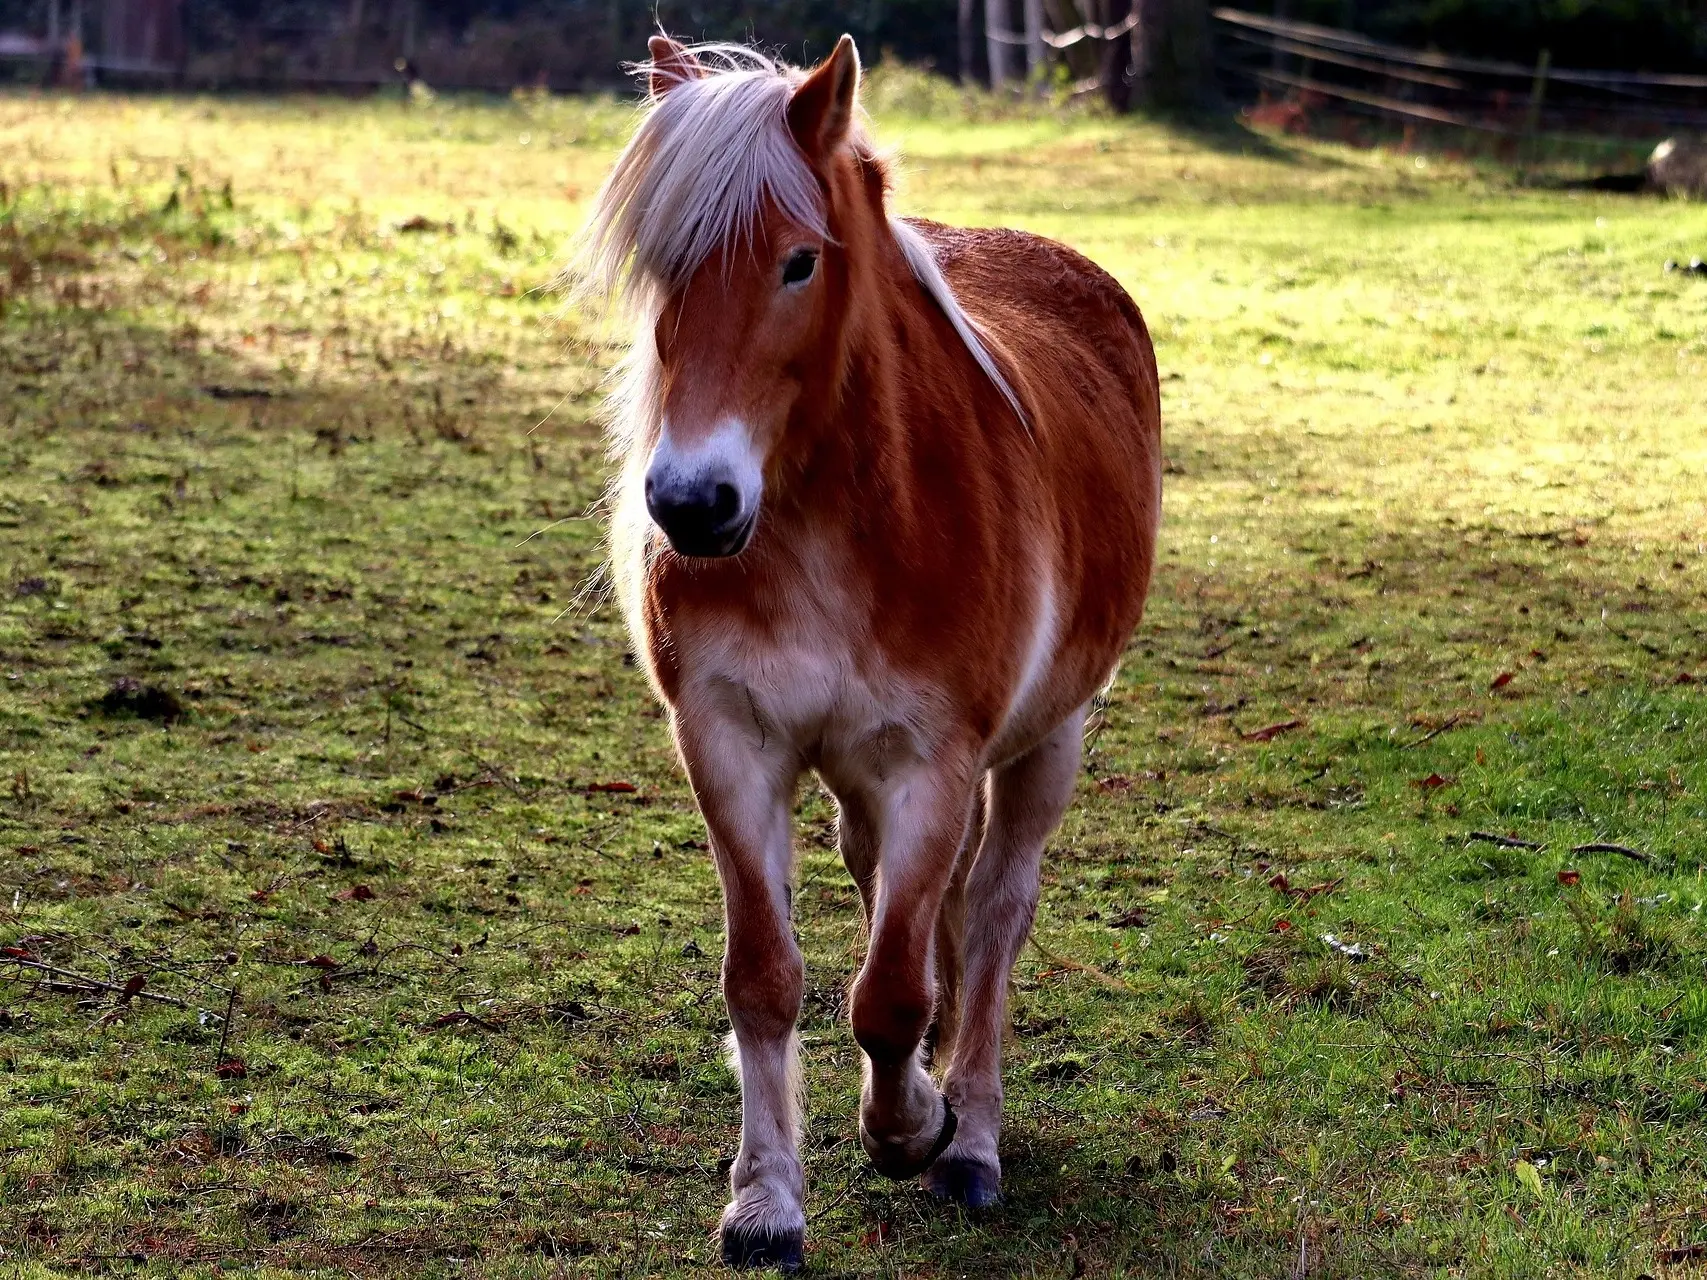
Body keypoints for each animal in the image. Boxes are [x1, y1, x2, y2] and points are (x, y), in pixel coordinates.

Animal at [580, 30, 1167, 1276]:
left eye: (798, 264)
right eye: (661, 265)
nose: (692, 503)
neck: (832, 525)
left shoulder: (933, 761)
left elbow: (892, 988)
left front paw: (913, 1125)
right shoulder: (730, 741)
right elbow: (769, 975)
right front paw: (765, 1198)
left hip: (1048, 740)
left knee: (992, 913)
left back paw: (971, 1133)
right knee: (899, 891)